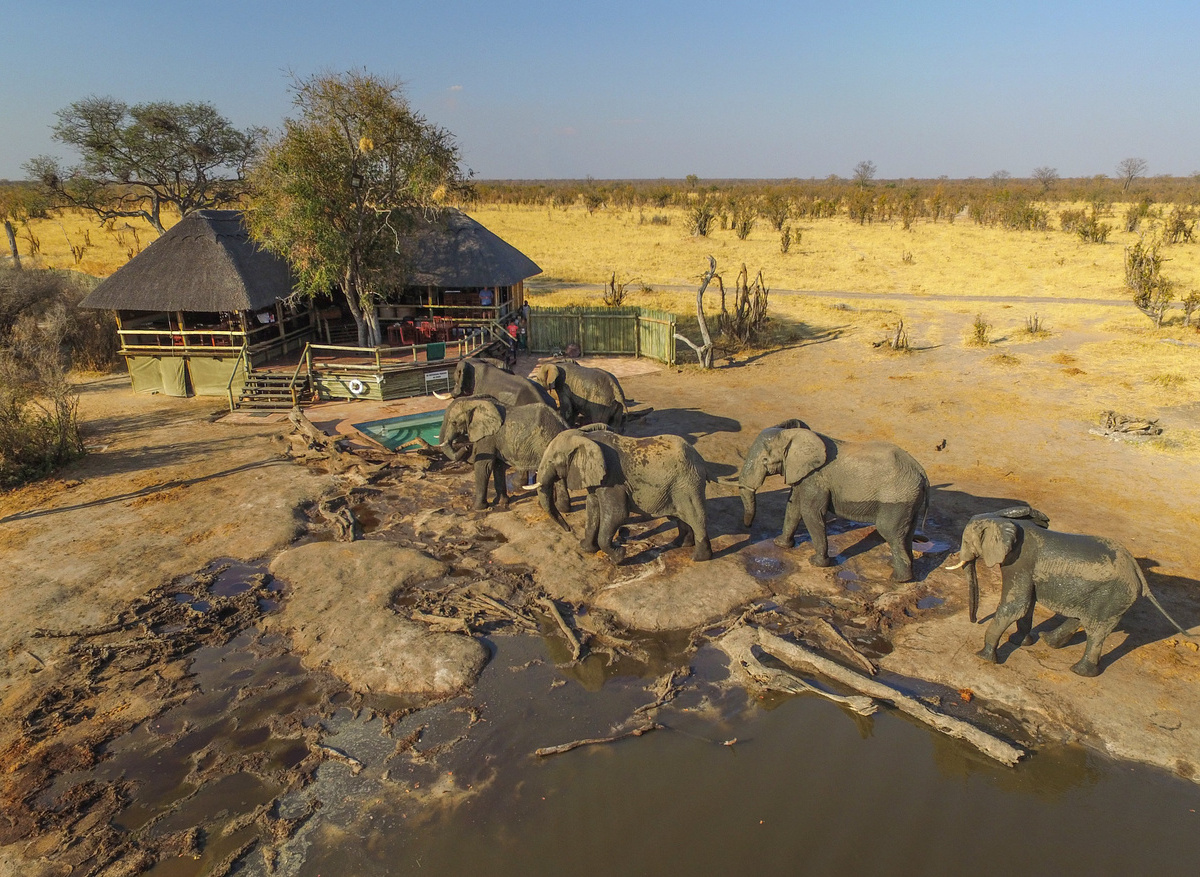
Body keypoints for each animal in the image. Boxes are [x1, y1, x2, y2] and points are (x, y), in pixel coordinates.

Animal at [436, 396, 570, 511]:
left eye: (454, 422)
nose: (467, 446)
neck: (475, 403)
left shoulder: (488, 437)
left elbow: (484, 465)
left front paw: (478, 508)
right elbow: (498, 465)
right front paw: (501, 502)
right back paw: (562, 508)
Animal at [531, 427, 711, 564]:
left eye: (551, 461)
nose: (568, 529)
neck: (585, 437)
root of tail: (699, 457)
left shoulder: (612, 480)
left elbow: (617, 514)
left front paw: (618, 557)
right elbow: (592, 508)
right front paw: (587, 548)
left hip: (688, 482)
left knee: (696, 517)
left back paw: (698, 558)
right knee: (682, 517)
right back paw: (681, 544)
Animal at [727, 421, 929, 582]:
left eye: (764, 460)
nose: (747, 526)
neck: (795, 435)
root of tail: (922, 473)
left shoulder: (816, 478)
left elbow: (810, 512)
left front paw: (816, 563)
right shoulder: (804, 476)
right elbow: (793, 507)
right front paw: (781, 545)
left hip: (897, 499)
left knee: (890, 532)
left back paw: (898, 580)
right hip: (910, 502)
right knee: (906, 533)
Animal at [945, 506, 1190, 677]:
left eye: (966, 541)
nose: (975, 621)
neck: (1003, 520)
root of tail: (1137, 571)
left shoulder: (1020, 561)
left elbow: (1017, 605)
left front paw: (983, 656)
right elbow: (1027, 606)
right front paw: (1020, 643)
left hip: (1113, 594)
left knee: (1096, 630)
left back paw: (1079, 672)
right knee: (1082, 617)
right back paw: (1049, 642)